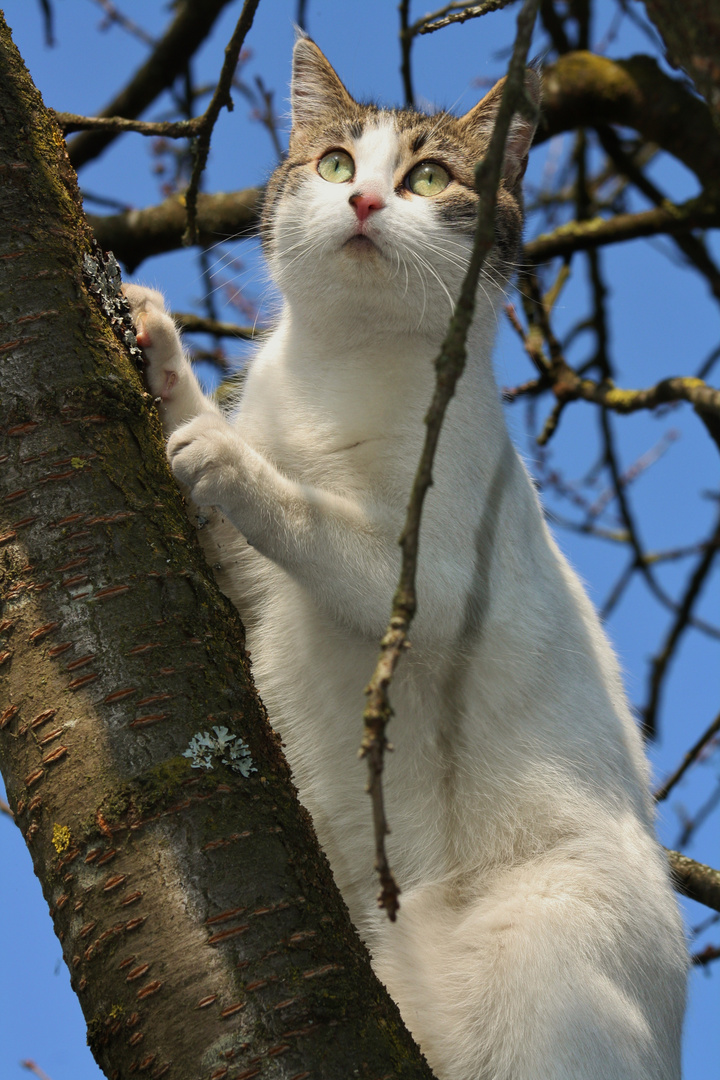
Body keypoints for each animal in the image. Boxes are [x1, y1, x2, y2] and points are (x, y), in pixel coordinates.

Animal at [124, 33, 686, 1080]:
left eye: (427, 177)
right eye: (337, 164)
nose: (366, 202)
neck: (336, 369)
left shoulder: (436, 579)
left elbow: (313, 517)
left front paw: (227, 455)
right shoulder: (251, 579)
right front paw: (165, 359)